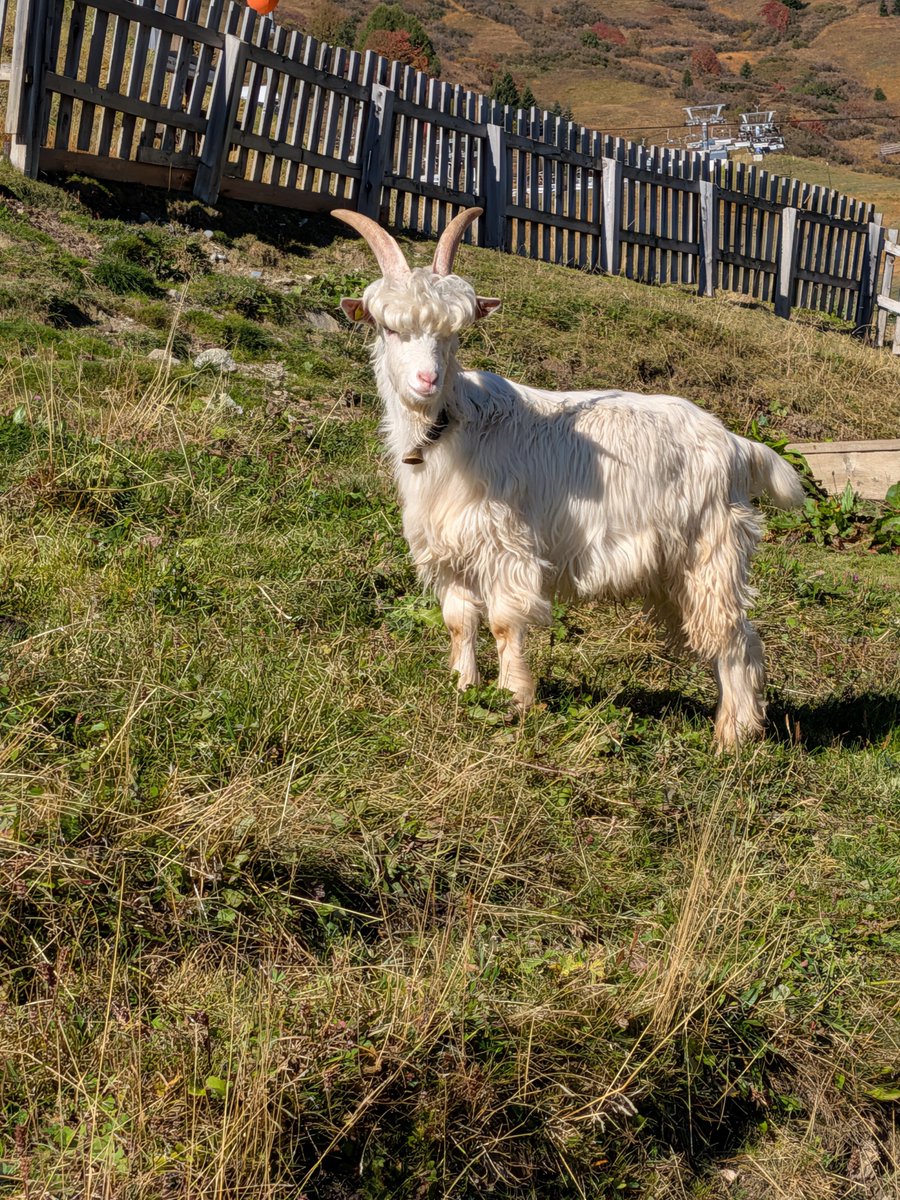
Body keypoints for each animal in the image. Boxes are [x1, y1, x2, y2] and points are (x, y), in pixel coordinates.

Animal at [333, 206, 804, 748]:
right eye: (389, 330)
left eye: (454, 333)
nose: (426, 380)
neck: (454, 428)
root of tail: (735, 444)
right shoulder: (448, 551)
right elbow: (458, 622)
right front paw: (462, 688)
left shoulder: (508, 545)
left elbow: (504, 623)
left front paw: (513, 699)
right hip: (674, 569)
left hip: (713, 551)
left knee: (735, 636)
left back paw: (734, 734)